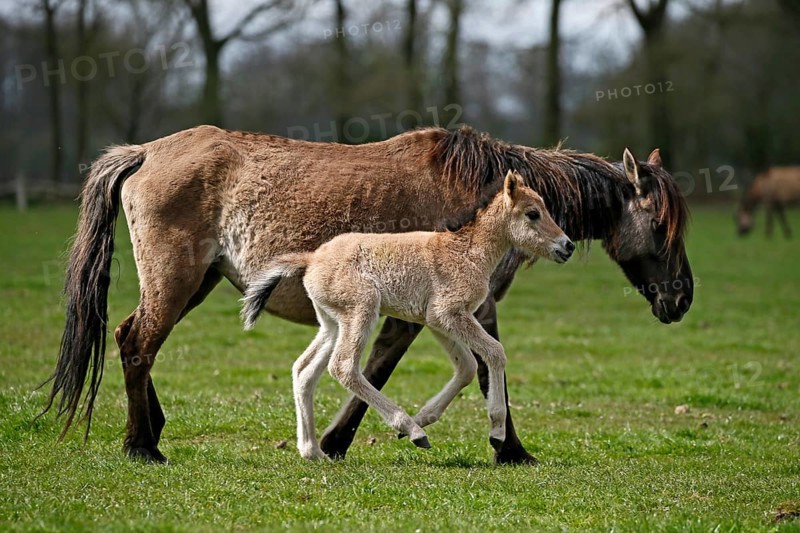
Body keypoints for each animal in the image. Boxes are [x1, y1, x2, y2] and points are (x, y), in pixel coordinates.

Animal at [241, 171, 575, 460]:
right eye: (533, 213)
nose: (567, 246)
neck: (467, 251)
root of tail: (311, 259)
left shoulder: (436, 320)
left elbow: (466, 366)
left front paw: (426, 415)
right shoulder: (448, 313)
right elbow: (494, 352)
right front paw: (496, 432)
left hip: (332, 323)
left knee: (304, 370)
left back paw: (312, 451)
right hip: (362, 309)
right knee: (343, 367)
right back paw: (411, 430)